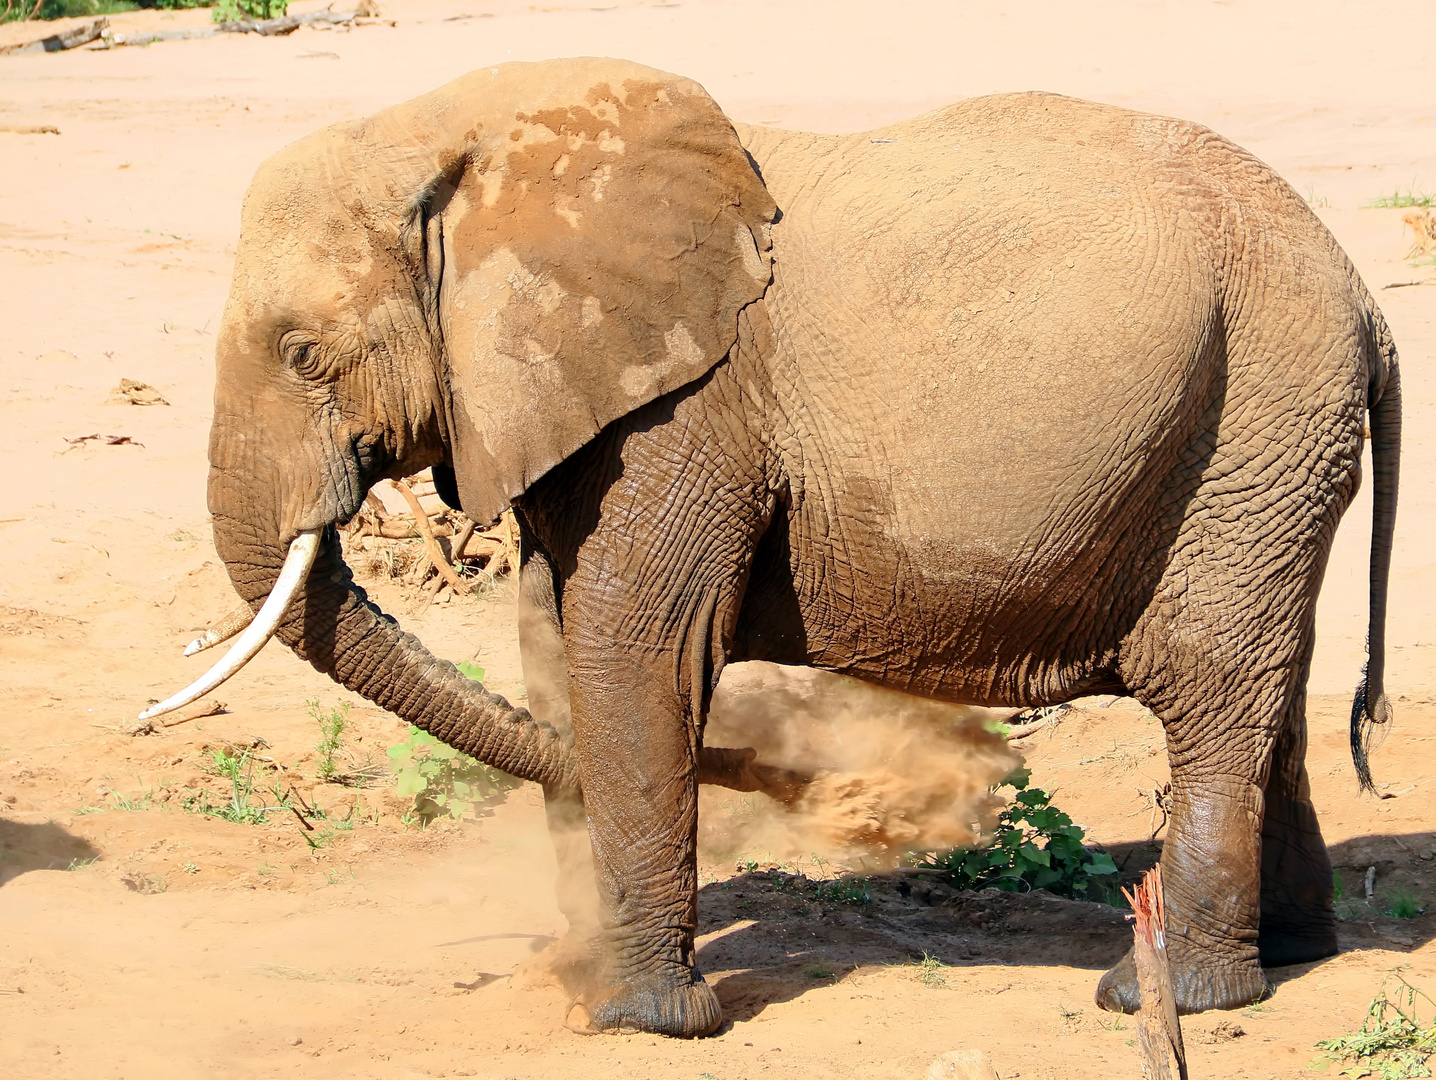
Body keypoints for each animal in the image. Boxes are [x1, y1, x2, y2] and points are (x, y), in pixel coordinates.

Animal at [145, 58, 1401, 1039]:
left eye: (304, 354)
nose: (837, 793)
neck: (469, 143)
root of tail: (1364, 300)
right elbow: (556, 645)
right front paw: (585, 983)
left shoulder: (684, 409)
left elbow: (633, 654)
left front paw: (641, 1020)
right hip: (1263, 453)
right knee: (1269, 692)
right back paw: (1290, 955)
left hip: (1256, 414)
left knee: (1210, 688)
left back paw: (1160, 999)